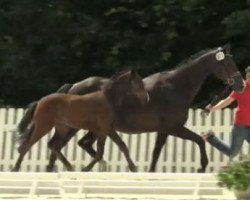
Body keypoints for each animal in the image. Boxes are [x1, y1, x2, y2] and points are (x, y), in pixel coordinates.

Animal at [11, 69, 148, 171]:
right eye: (137, 83)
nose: (146, 98)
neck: (108, 99)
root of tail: (40, 101)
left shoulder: (107, 129)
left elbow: (121, 146)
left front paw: (133, 168)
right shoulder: (104, 129)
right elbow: (101, 152)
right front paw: (86, 169)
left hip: (62, 128)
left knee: (53, 145)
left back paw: (69, 167)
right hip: (44, 127)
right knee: (27, 145)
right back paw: (15, 168)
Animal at [37, 45, 244, 172]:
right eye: (227, 62)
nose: (241, 85)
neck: (176, 87)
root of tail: (73, 87)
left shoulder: (165, 130)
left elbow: (157, 153)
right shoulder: (172, 128)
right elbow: (197, 141)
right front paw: (202, 167)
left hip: (92, 129)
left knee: (76, 145)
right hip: (74, 127)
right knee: (58, 146)